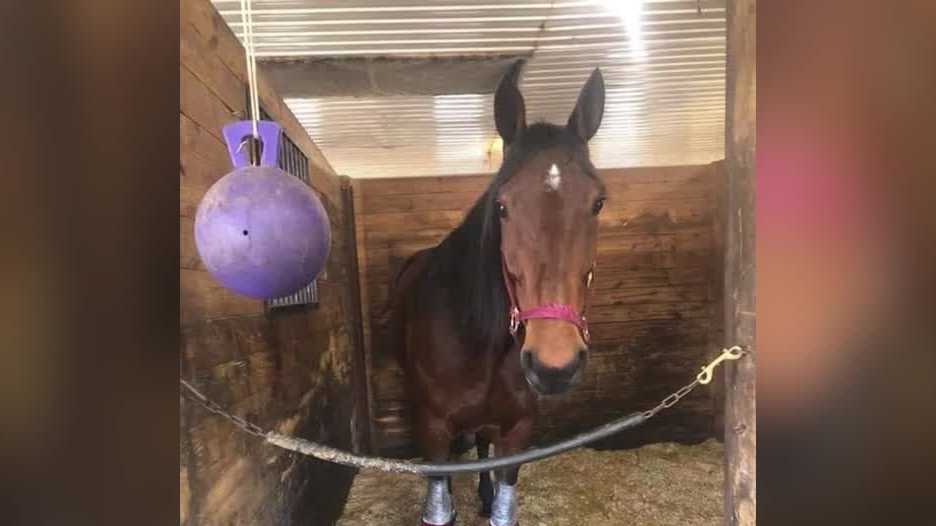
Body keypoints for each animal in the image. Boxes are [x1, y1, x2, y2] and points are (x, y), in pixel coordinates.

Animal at [389, 61, 606, 526]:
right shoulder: (433, 426)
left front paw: (491, 498)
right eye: (503, 206)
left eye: (598, 202)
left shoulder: (517, 428)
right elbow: (439, 500)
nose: (555, 364)